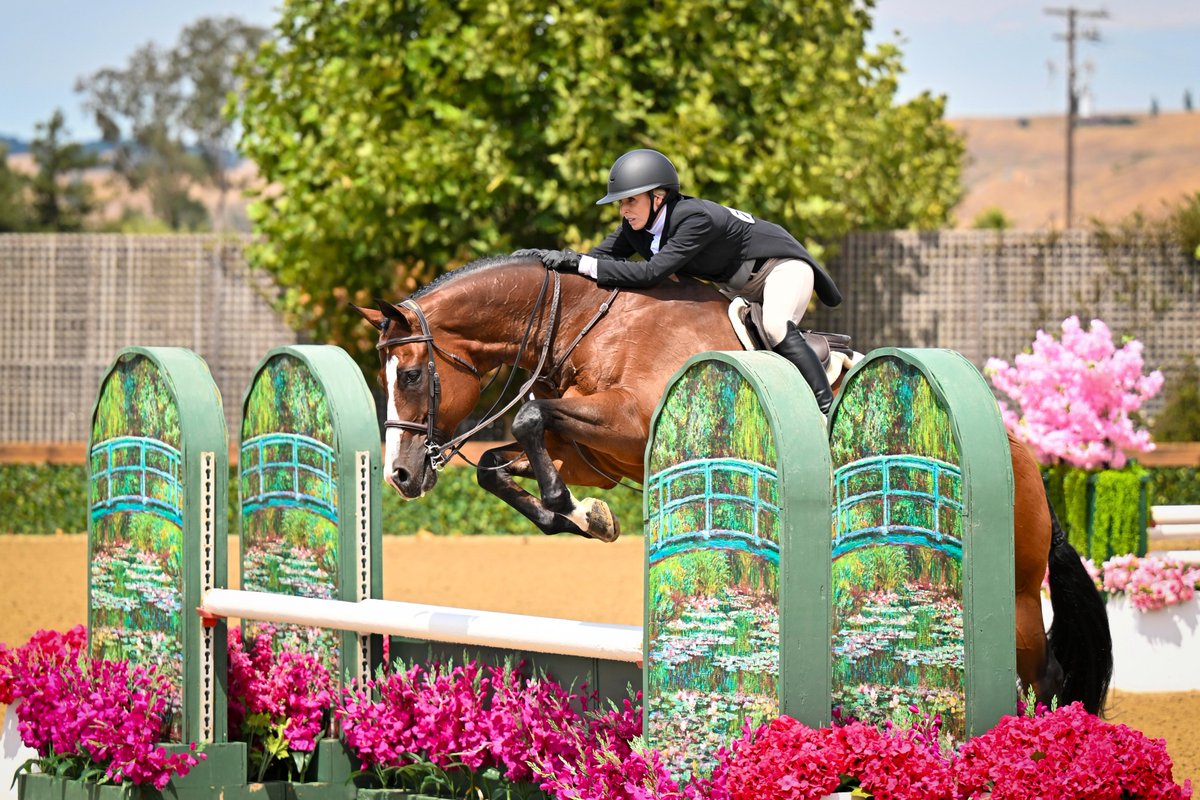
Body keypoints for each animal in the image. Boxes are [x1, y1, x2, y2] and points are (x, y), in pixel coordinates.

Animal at [352, 254, 1112, 715]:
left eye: (411, 375)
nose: (400, 474)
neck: (585, 325)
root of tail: (1022, 454)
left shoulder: (627, 424)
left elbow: (531, 418)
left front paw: (570, 509)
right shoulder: (593, 453)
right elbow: (500, 460)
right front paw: (584, 516)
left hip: (1016, 596)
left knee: (1040, 676)